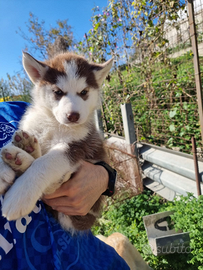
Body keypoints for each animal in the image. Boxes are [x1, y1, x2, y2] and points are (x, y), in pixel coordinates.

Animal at [0, 51, 112, 233]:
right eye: (58, 92)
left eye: (84, 92)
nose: (73, 116)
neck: (55, 124)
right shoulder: (31, 127)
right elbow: (7, 144)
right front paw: (2, 170)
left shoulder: (80, 144)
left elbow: (46, 162)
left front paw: (20, 195)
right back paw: (25, 151)